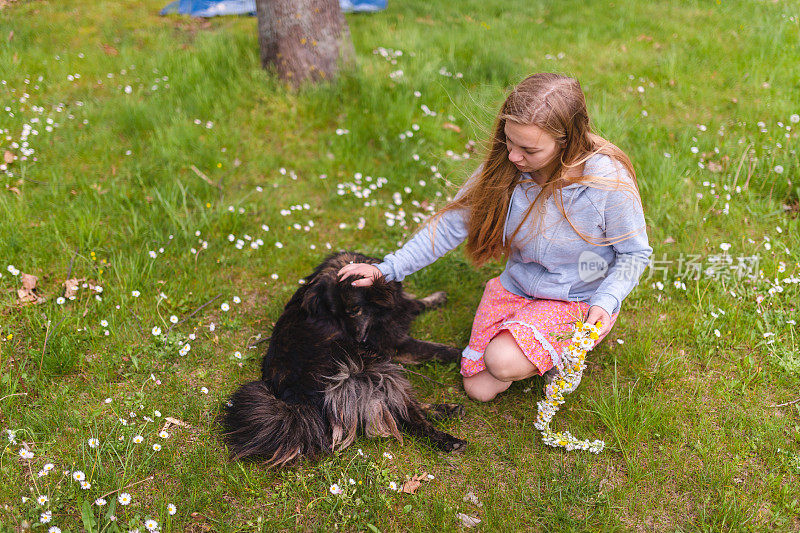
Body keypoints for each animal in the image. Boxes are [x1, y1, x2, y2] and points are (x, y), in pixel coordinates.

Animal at [220, 251, 468, 464]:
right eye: (335, 317)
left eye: (354, 310)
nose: (358, 343)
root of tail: (296, 401)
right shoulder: (397, 344)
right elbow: (437, 349)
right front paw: (464, 355)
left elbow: (413, 303)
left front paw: (435, 298)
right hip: (374, 371)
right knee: (406, 413)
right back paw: (446, 438)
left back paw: (446, 410)